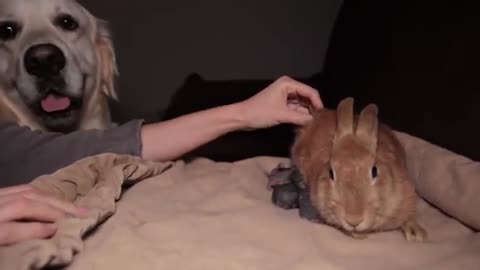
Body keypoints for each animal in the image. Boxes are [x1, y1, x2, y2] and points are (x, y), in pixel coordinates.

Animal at [288, 98, 428, 242]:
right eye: (331, 173)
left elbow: (409, 216)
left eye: (374, 171)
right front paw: (357, 234)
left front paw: (416, 234)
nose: (353, 220)